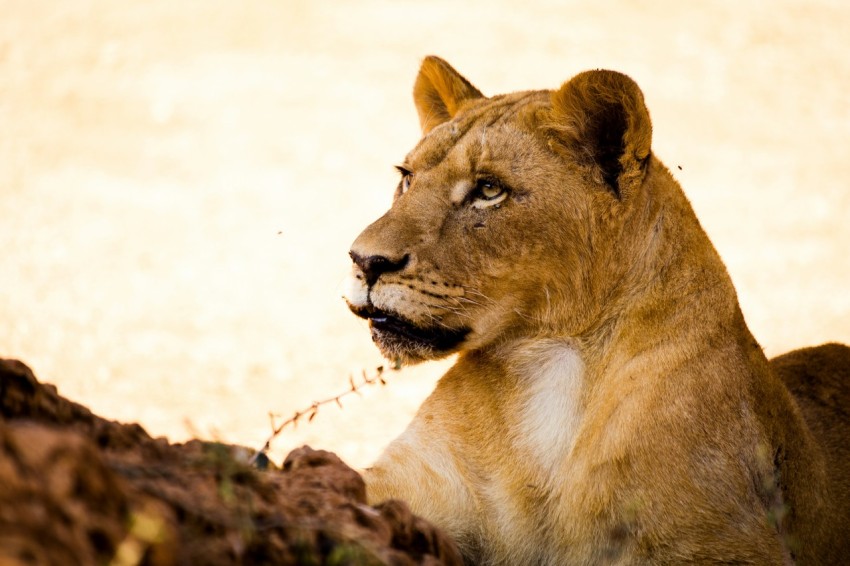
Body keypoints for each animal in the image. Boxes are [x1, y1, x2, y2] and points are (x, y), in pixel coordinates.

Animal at [341, 56, 850, 564]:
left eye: (488, 189)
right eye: (407, 177)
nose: (364, 260)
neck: (544, 364)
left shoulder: (722, 539)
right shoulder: (419, 481)